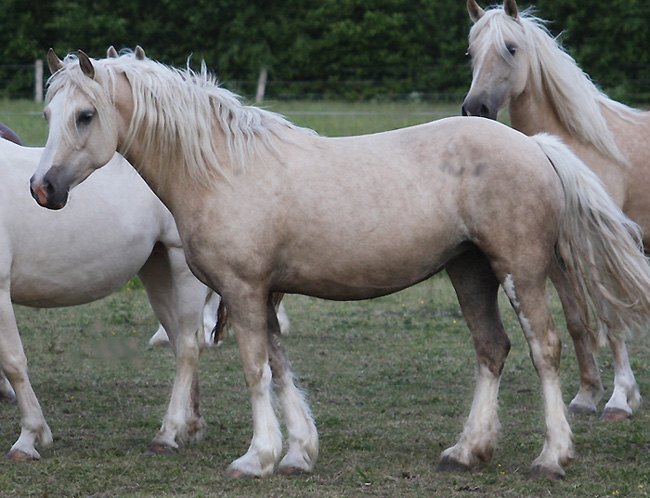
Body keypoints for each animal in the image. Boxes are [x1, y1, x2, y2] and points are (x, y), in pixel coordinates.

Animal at [0, 138, 216, 460]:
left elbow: (13, 362)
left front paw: (29, 438)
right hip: (157, 268)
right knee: (181, 341)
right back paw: (189, 426)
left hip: (182, 266)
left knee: (189, 347)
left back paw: (167, 435)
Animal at [29, 49, 650, 479]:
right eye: (49, 112)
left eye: (85, 115)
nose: (43, 188)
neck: (223, 169)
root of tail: (537, 144)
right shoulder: (266, 294)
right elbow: (280, 369)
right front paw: (298, 454)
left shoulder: (244, 290)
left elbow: (255, 370)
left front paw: (257, 457)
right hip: (470, 272)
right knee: (491, 350)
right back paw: (467, 450)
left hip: (519, 271)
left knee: (545, 348)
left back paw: (552, 456)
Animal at [462, 0, 650, 421]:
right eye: (471, 53)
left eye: (511, 48)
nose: (475, 108)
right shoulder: (554, 255)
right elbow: (577, 321)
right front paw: (586, 394)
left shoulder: (599, 248)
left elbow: (611, 316)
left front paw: (619, 400)